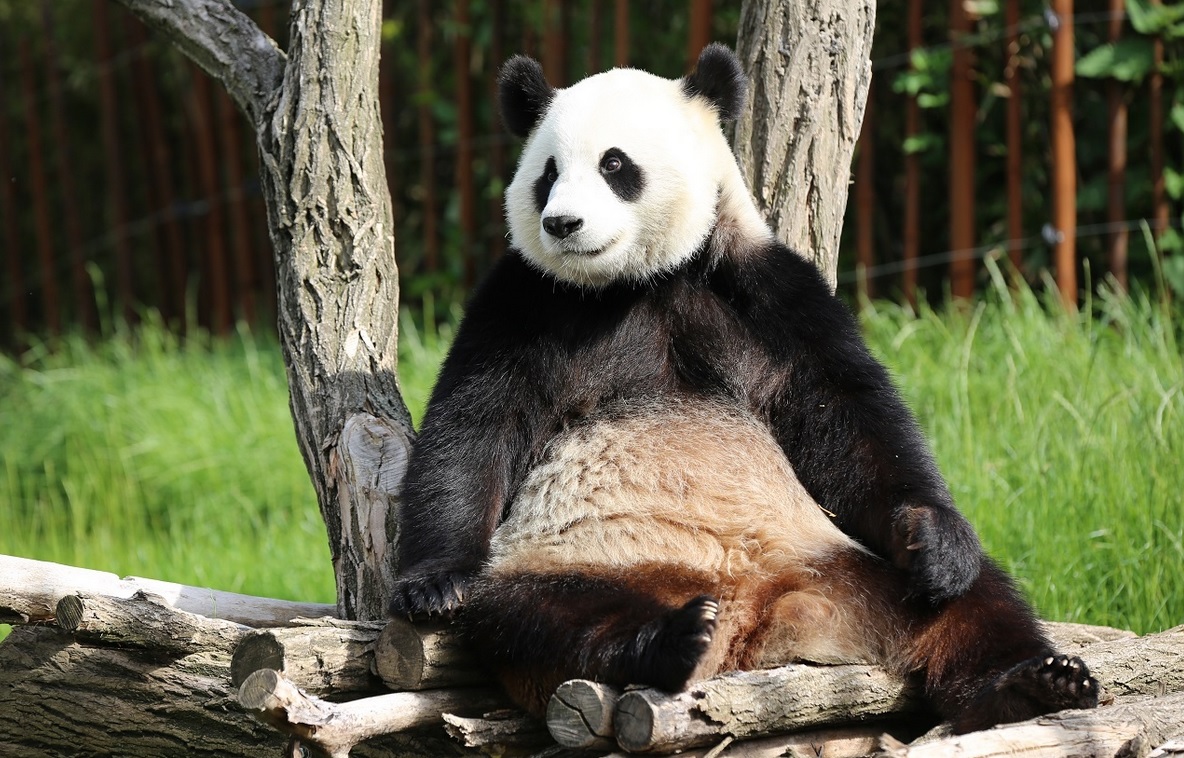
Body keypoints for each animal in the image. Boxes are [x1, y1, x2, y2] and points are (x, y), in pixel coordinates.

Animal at [390, 44, 1098, 734]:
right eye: (547, 172)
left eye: (614, 164)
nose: (563, 223)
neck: (634, 282)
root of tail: (762, 615)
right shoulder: (524, 300)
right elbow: (475, 424)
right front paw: (433, 585)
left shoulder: (764, 290)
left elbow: (849, 417)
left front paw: (932, 537)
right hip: (575, 559)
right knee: (538, 616)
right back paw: (672, 640)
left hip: (844, 560)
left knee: (973, 601)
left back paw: (1030, 678)